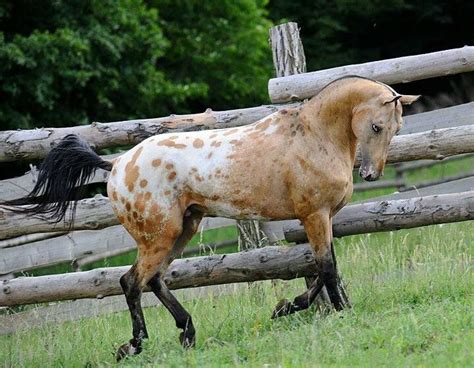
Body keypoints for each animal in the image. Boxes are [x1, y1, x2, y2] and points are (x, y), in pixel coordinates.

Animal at [2, 75, 418, 360]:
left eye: (397, 127)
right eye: (377, 126)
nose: (370, 175)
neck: (313, 137)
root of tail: (117, 164)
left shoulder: (321, 219)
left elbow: (320, 267)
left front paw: (286, 307)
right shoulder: (314, 216)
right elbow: (326, 267)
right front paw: (340, 310)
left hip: (184, 228)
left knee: (154, 280)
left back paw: (187, 332)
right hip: (159, 235)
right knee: (131, 282)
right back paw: (134, 345)